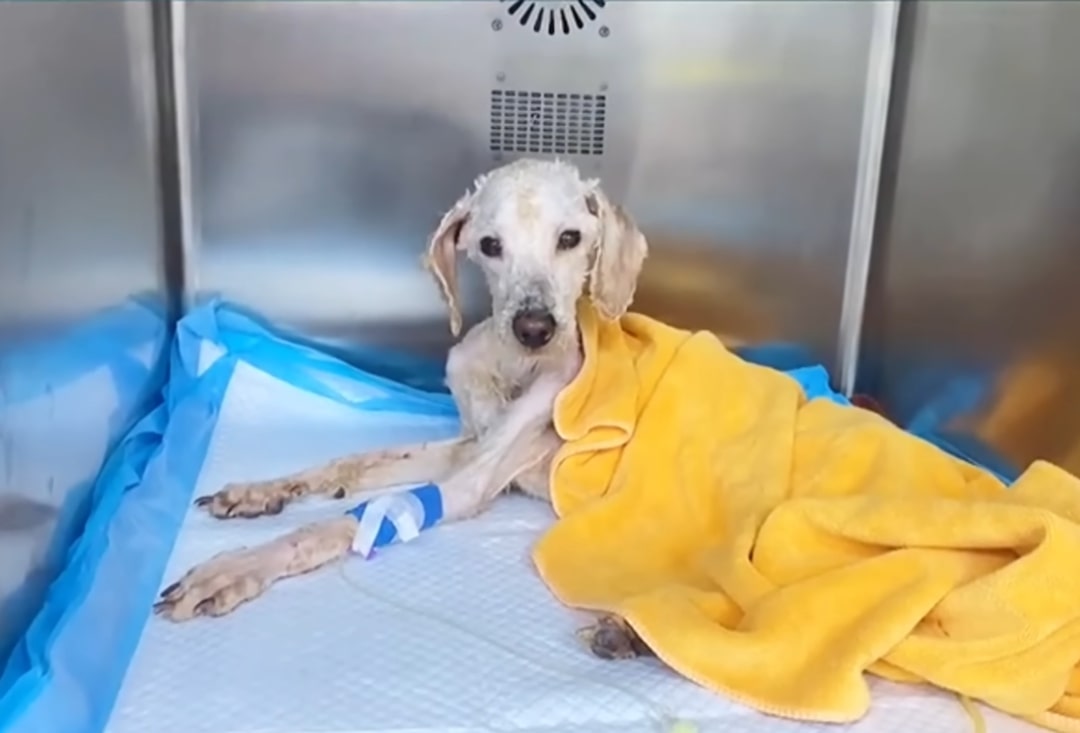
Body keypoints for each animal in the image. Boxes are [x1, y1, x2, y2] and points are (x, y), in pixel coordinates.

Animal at [152, 161, 652, 664]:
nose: (534, 329)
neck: (516, 369)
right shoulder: (472, 447)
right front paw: (260, 491)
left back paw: (626, 632)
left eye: (570, 238)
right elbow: (352, 463)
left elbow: (334, 525)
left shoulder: (470, 485)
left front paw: (238, 567)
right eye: (491, 245)